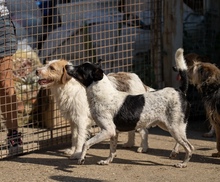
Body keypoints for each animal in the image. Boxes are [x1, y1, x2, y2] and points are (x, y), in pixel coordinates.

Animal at [65, 48, 194, 168]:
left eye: (81, 68)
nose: (66, 66)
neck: (103, 94)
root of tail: (179, 90)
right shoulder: (113, 133)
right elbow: (112, 150)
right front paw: (107, 161)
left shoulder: (107, 130)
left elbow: (86, 143)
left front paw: (81, 158)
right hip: (168, 126)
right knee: (182, 142)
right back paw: (174, 153)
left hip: (174, 127)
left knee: (189, 147)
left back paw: (183, 163)